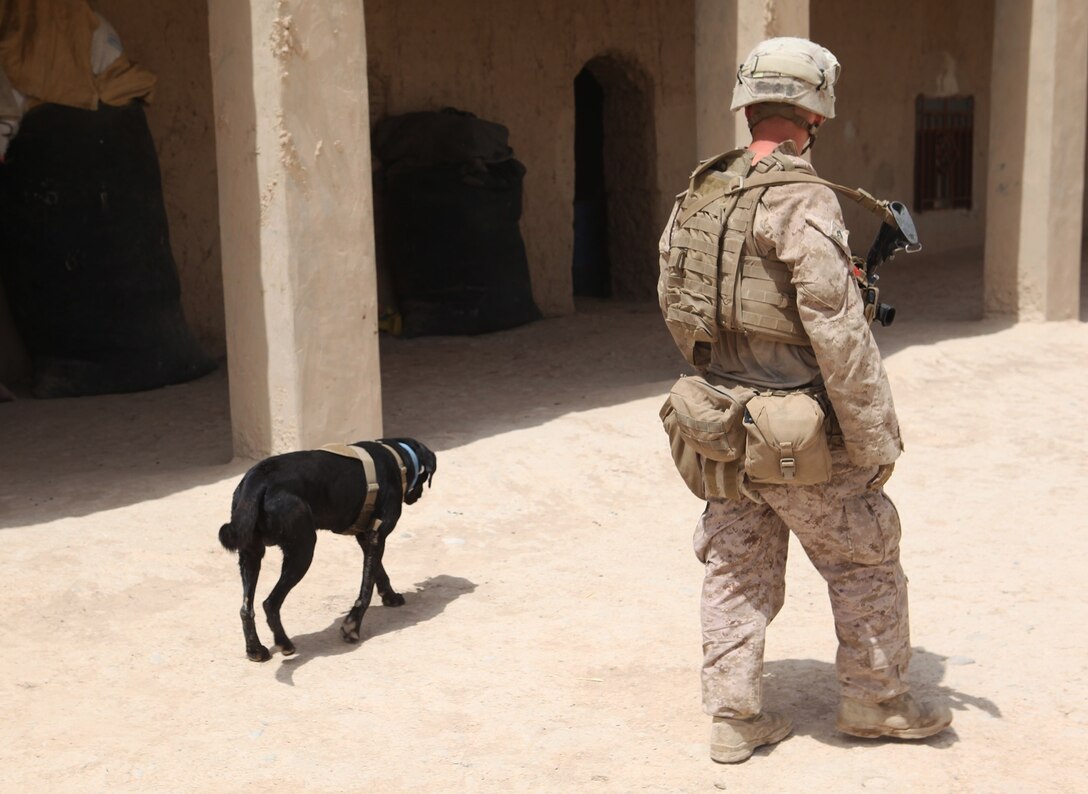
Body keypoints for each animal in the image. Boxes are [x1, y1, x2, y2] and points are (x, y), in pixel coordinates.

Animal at [218, 435, 435, 656]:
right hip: (303, 550)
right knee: (270, 603)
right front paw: (353, 626)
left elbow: (377, 573)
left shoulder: (366, 538)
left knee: (246, 608)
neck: (399, 456)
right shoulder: (376, 536)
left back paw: (255, 649)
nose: (417, 496)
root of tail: (257, 480)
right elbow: (366, 588)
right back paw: (284, 643)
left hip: (250, 554)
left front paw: (389, 596)